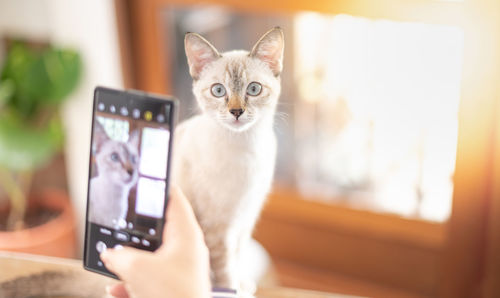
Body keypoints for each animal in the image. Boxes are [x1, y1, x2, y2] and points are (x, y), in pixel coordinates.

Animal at [173, 27, 284, 296]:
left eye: (253, 89)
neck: (246, 148)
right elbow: (224, 269)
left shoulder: (246, 217)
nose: (236, 112)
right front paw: (231, 289)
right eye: (218, 91)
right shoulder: (218, 229)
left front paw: (243, 284)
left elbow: (238, 256)